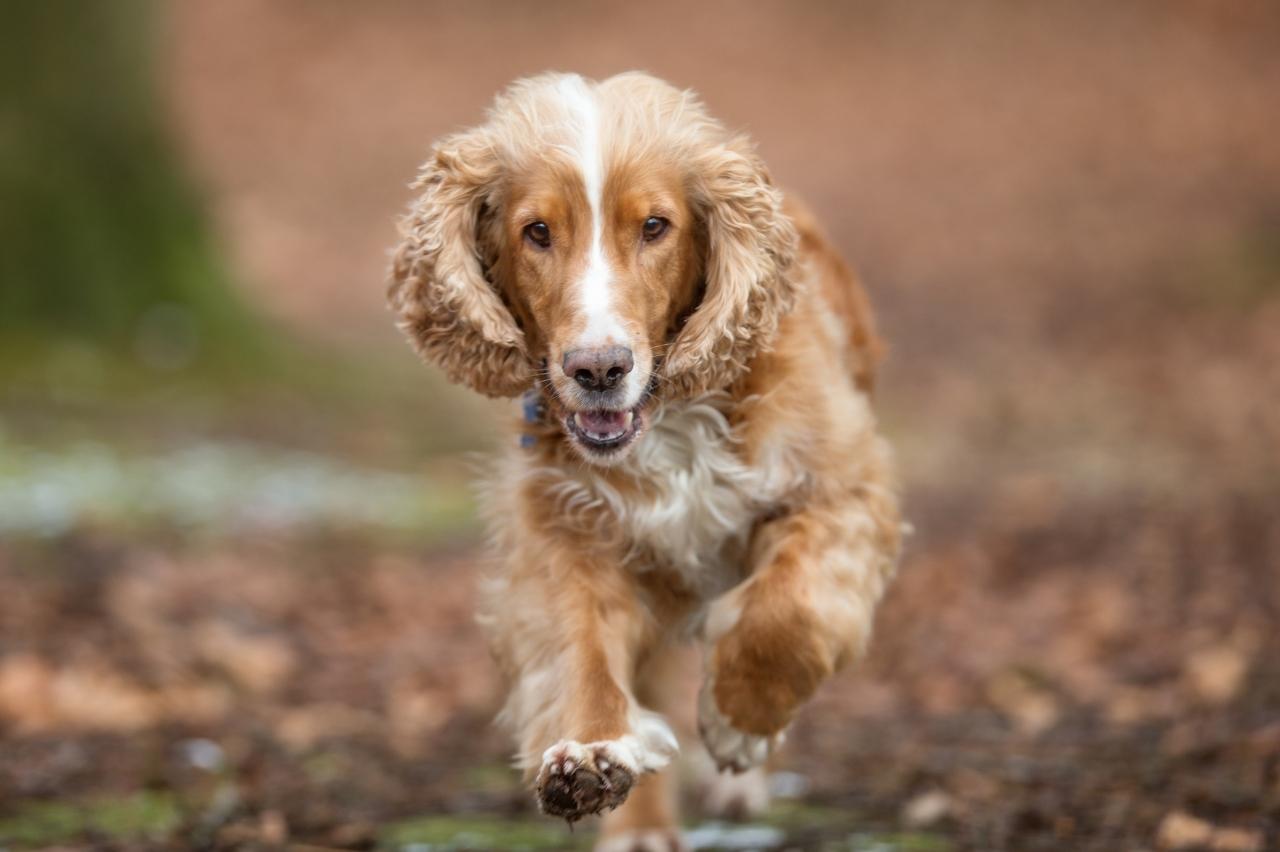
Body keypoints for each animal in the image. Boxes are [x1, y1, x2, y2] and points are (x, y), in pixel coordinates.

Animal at [386, 74, 901, 849]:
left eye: (655, 227)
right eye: (537, 231)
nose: (598, 369)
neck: (666, 423)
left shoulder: (841, 489)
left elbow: (789, 611)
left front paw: (739, 723)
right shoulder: (566, 534)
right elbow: (583, 652)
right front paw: (594, 750)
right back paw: (642, 828)